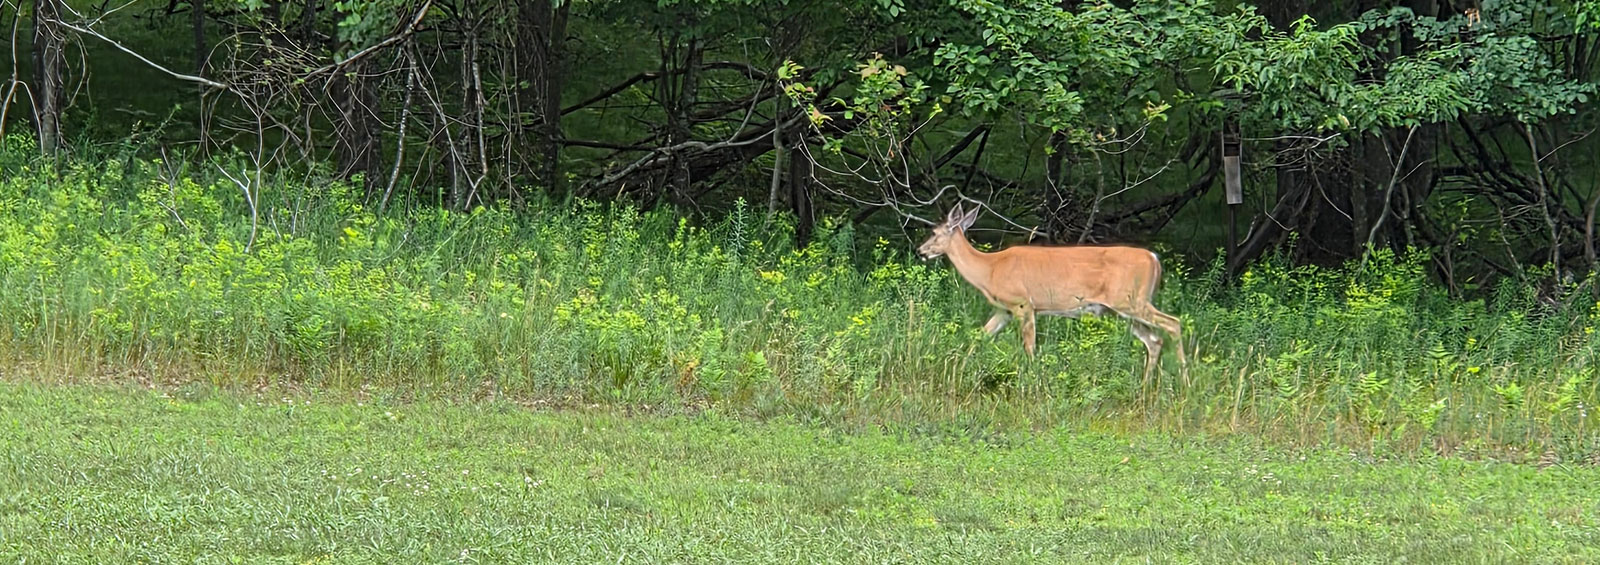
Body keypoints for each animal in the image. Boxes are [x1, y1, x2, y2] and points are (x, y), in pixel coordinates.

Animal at [917, 203, 1189, 387]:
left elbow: (1029, 347)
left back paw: (1184, 381)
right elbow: (979, 337)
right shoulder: (1003, 310)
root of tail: (1154, 259)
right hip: (1123, 310)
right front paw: (956, 370)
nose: (920, 251)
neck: (990, 270)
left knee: (1173, 323)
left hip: (1131, 301)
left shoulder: (1023, 304)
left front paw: (1033, 380)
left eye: (935, 233)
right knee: (1154, 340)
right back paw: (1145, 386)